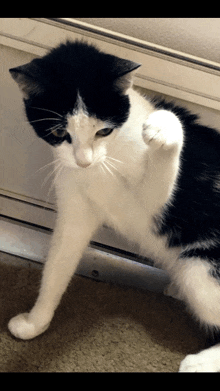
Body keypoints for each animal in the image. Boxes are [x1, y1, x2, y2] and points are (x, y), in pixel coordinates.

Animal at [8, 40, 220, 374]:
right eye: (59, 133)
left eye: (103, 131)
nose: (84, 161)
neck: (105, 160)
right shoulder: (76, 208)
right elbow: (56, 267)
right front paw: (35, 322)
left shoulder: (149, 205)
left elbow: (162, 175)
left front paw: (165, 125)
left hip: (201, 271)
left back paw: (200, 362)